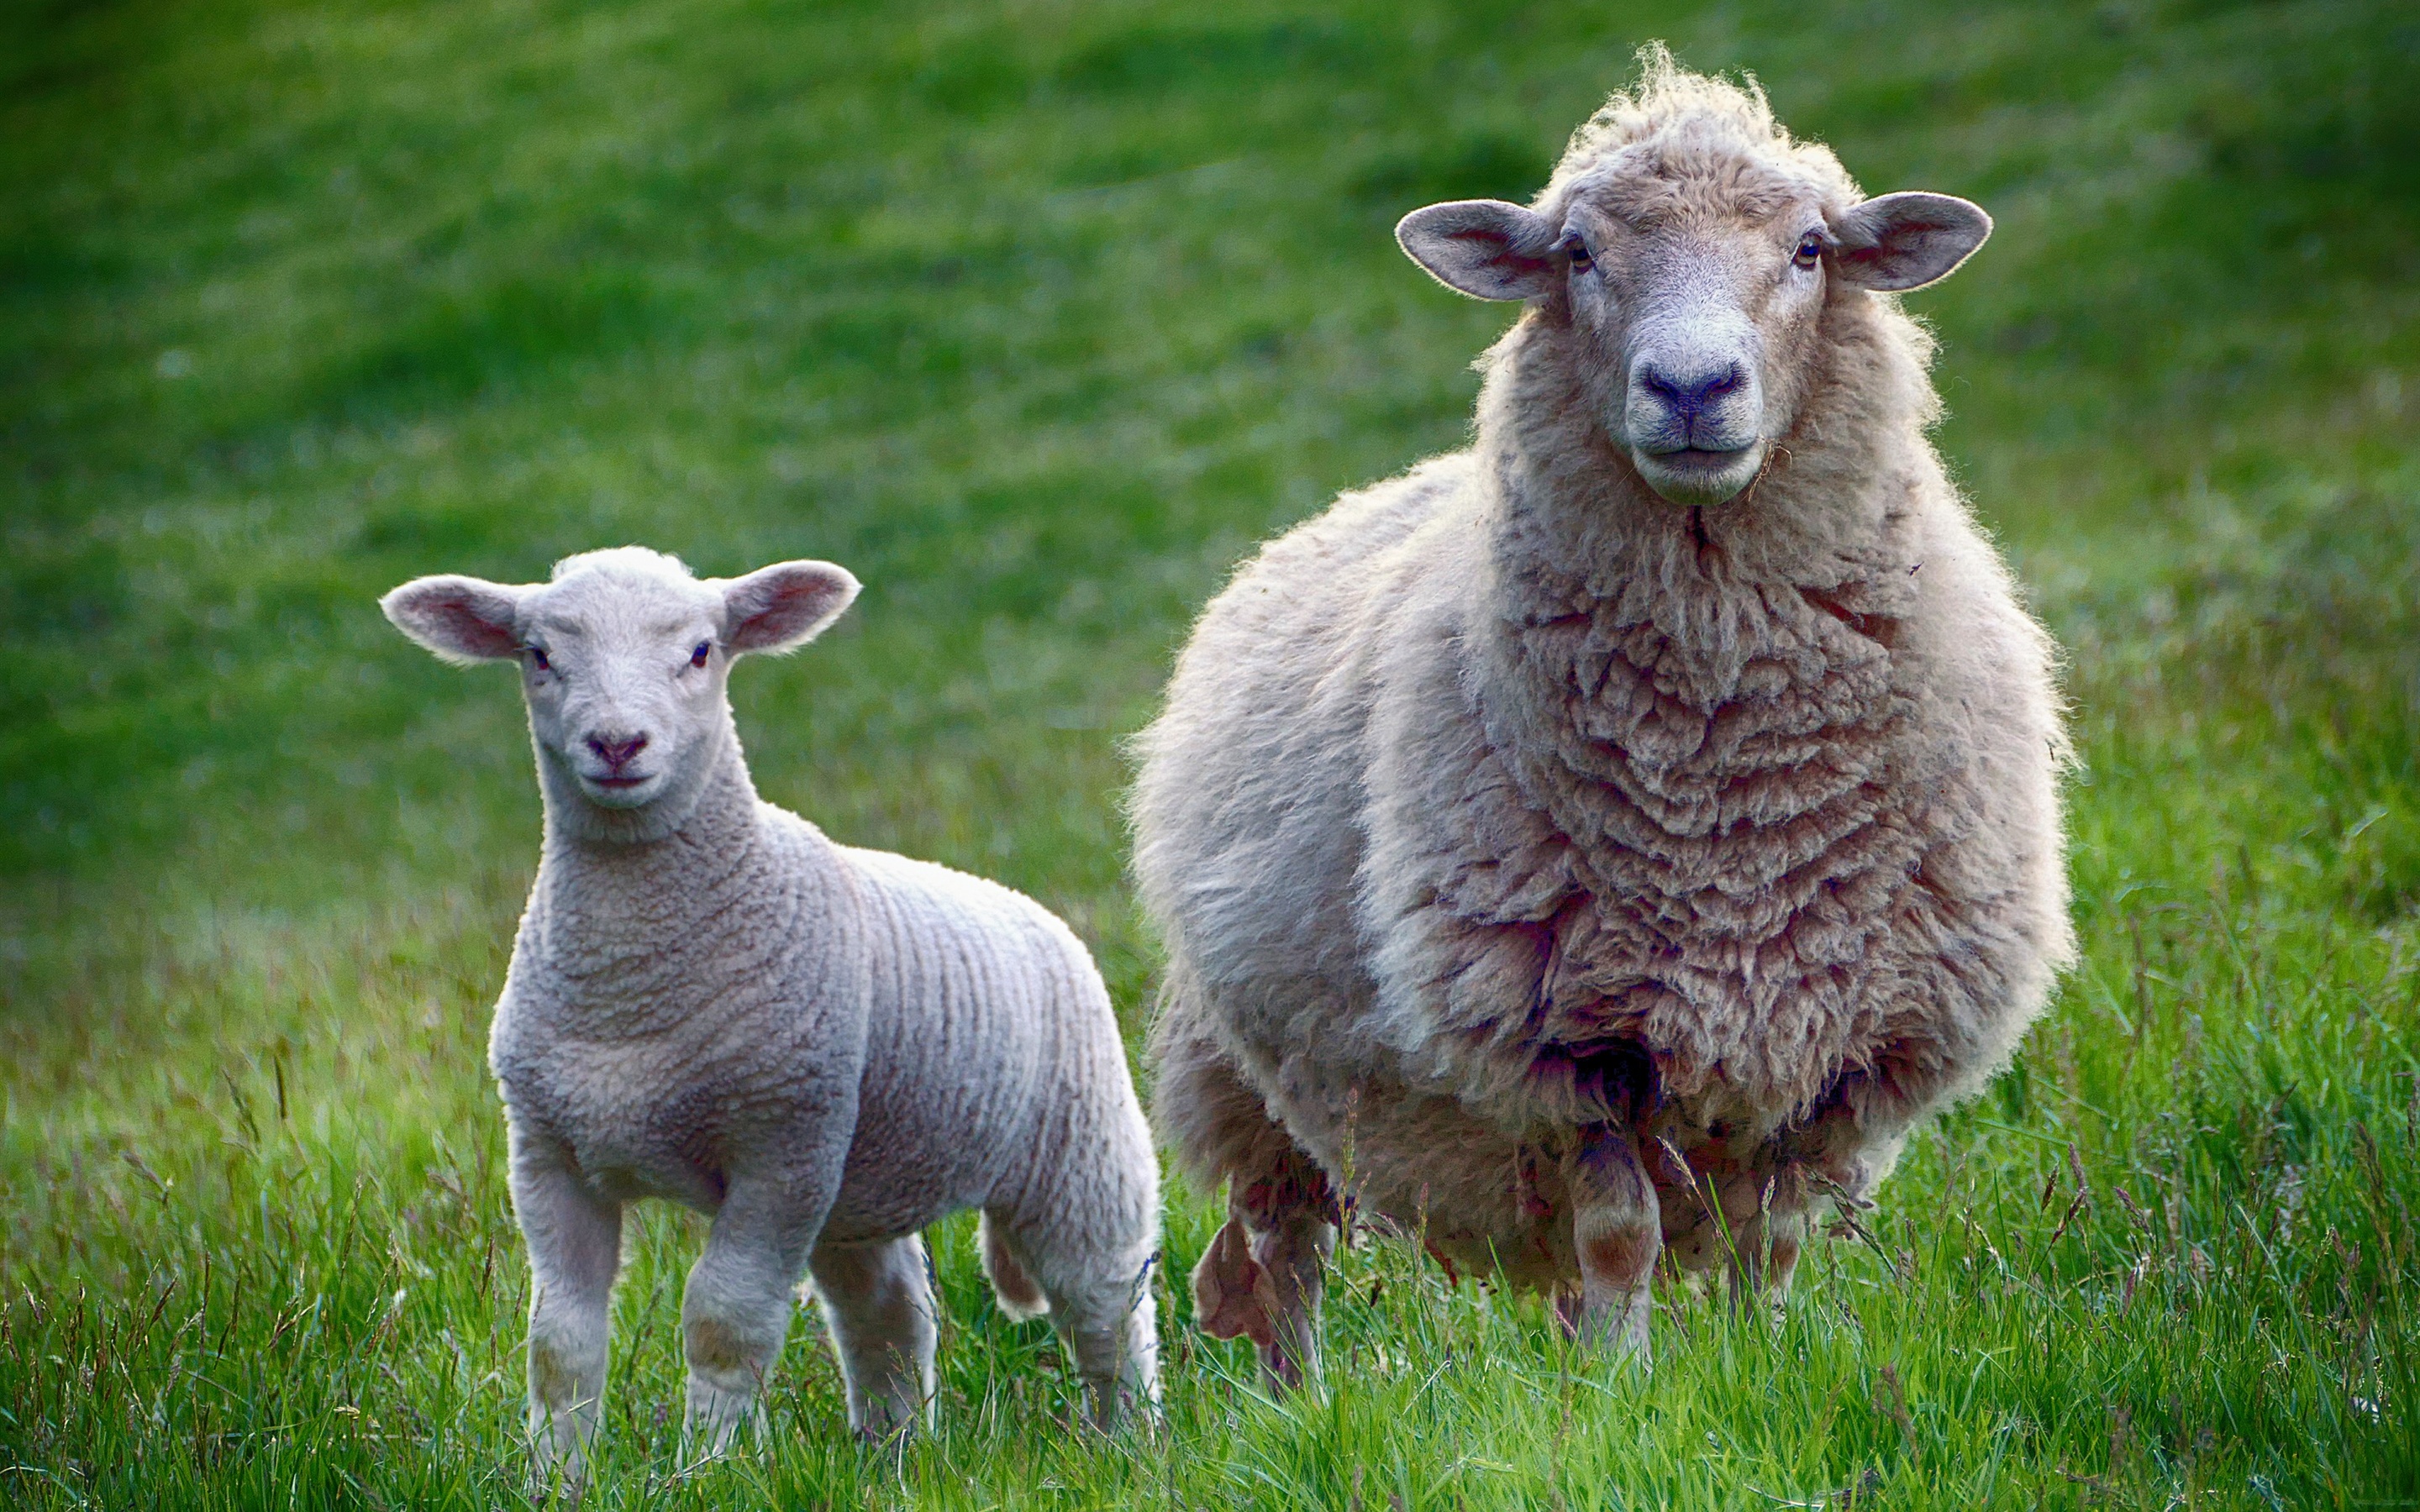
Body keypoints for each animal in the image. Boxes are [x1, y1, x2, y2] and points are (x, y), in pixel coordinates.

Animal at [382, 549, 1156, 1480]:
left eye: (701, 651)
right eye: (537, 655)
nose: (617, 744)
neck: (630, 991)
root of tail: (1032, 911)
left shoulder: (779, 1147)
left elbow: (726, 1323)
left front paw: (703, 1471)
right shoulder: (548, 1154)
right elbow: (559, 1344)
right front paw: (553, 1480)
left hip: (1076, 1145)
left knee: (1105, 1300)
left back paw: (1129, 1444)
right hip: (857, 1182)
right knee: (888, 1316)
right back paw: (893, 1456)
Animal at [1128, 50, 2061, 1383]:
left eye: (1811, 249)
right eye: (1577, 252)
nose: (1692, 387)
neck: (1728, 794)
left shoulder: (1841, 1039)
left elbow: (1773, 1237)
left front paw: (1760, 1364)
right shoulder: (1569, 1044)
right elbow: (1620, 1232)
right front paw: (1625, 1389)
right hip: (1242, 1074)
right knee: (1280, 1251)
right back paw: (1300, 1399)